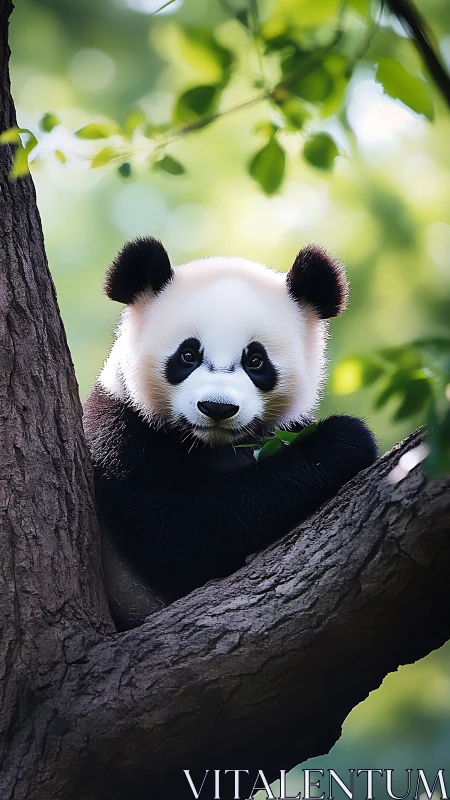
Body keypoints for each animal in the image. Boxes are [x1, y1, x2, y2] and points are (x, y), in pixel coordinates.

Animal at [83, 237, 377, 630]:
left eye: (255, 361)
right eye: (188, 355)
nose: (217, 408)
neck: (213, 444)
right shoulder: (122, 434)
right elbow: (187, 534)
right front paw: (346, 440)